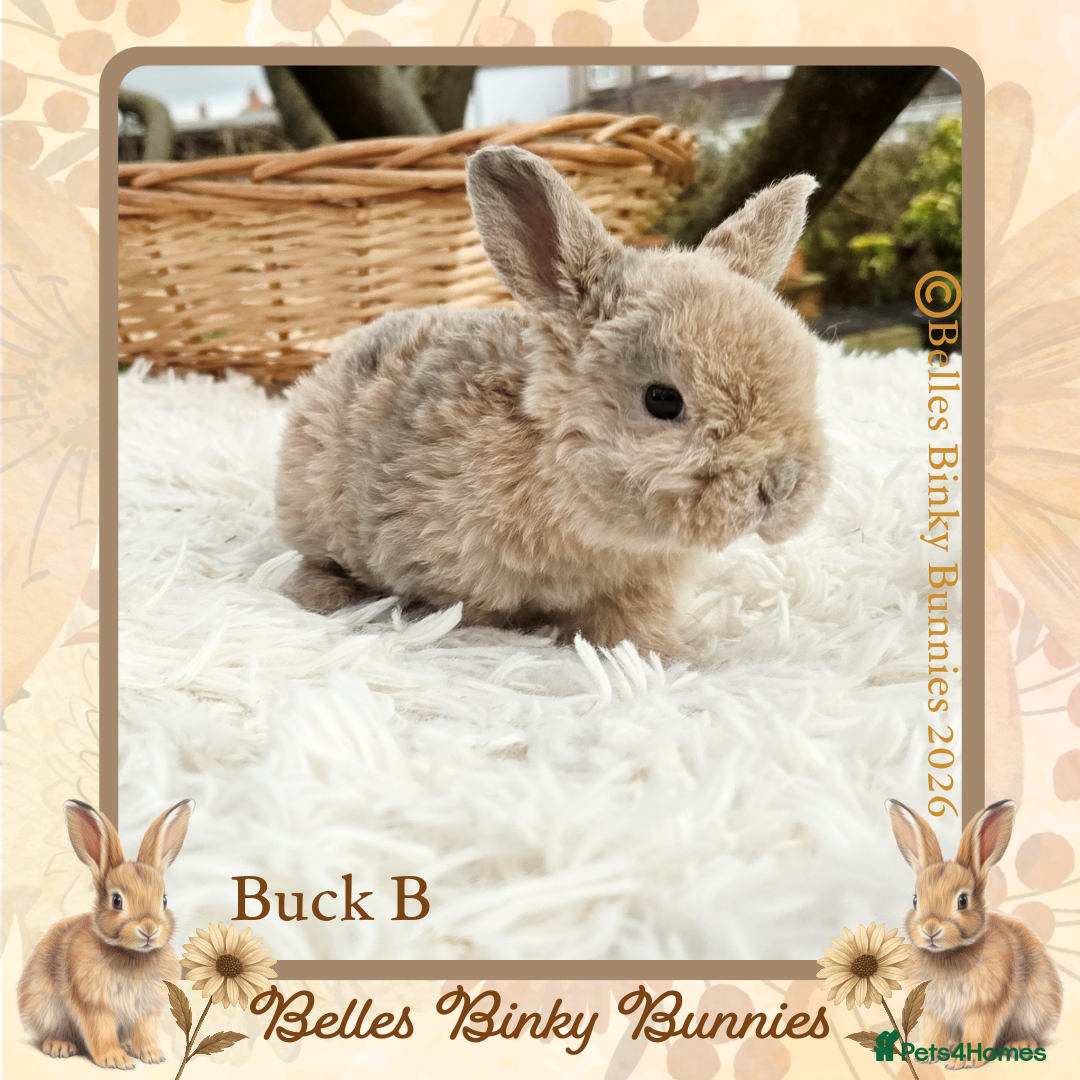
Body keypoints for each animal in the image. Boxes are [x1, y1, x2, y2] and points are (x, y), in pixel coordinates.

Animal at [17, 799, 195, 1069]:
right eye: (117, 900)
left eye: (164, 900)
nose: (149, 930)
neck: (131, 954)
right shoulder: (95, 1005)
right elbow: (101, 1031)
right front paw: (115, 1060)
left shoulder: (146, 1010)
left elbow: (145, 1031)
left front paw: (152, 1055)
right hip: (45, 1007)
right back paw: (59, 1046)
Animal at [886, 798, 1063, 1067]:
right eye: (915, 900)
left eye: (962, 901)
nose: (930, 930)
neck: (949, 954)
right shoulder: (935, 1009)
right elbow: (934, 1031)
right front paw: (926, 1055)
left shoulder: (984, 1005)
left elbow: (978, 1031)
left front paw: (963, 1061)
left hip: (1034, 1009)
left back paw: (1019, 1045)